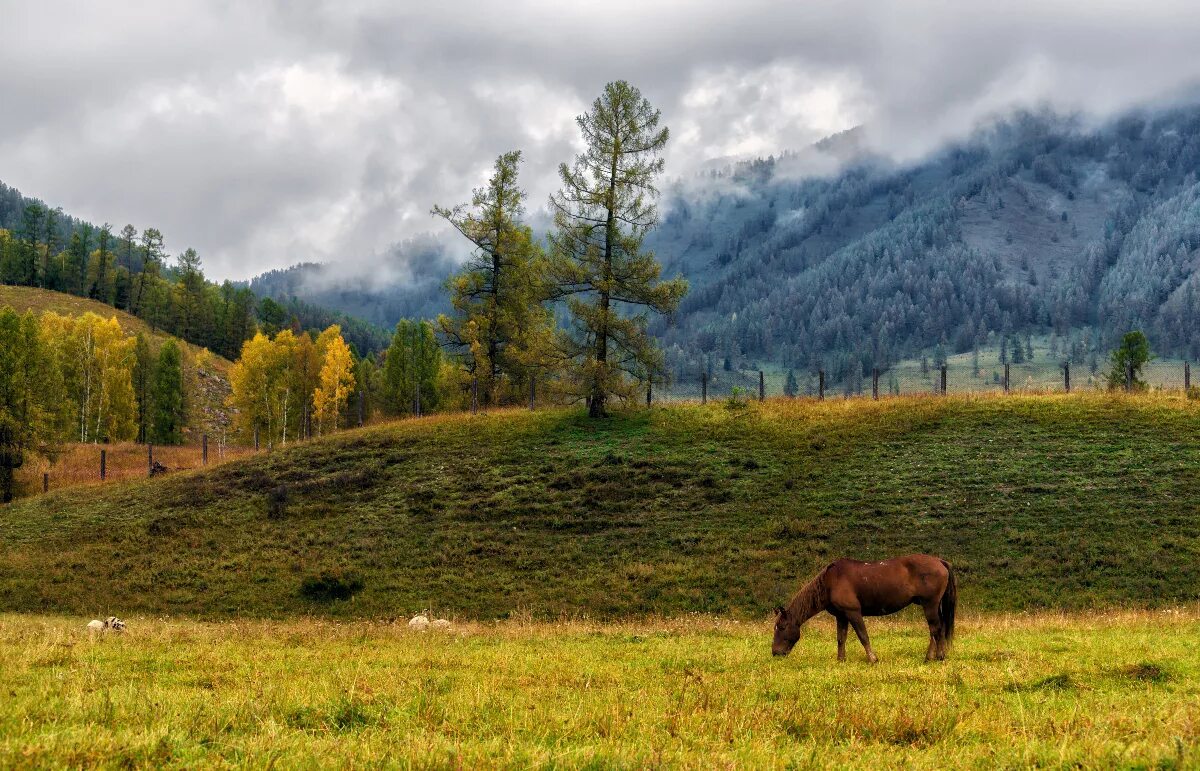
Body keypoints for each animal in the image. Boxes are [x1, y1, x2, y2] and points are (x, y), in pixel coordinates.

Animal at [772, 552, 960, 662]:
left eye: (781, 627)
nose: (775, 652)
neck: (830, 582)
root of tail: (940, 561)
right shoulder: (841, 616)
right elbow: (841, 638)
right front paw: (841, 660)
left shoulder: (853, 612)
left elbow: (863, 636)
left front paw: (872, 658)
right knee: (936, 630)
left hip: (930, 604)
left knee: (936, 629)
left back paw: (937, 656)